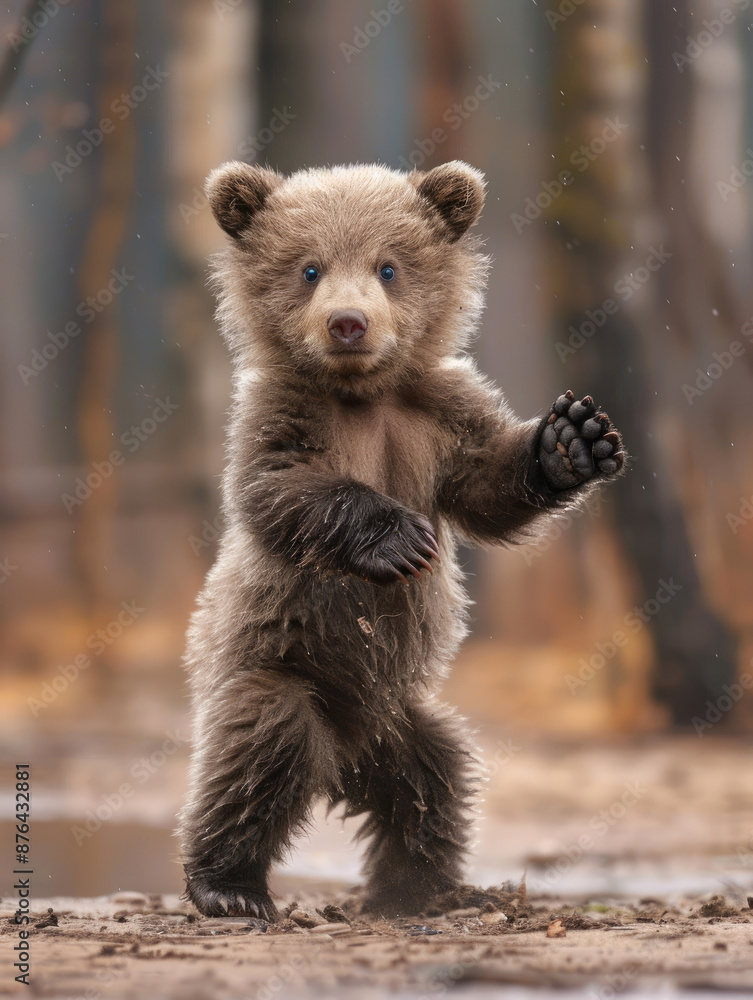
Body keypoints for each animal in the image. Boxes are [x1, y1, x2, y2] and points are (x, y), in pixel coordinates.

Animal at [177, 159, 625, 920]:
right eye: (309, 268)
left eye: (388, 266)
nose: (347, 322)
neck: (363, 395)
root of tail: (343, 762)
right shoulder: (282, 414)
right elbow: (279, 488)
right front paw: (399, 539)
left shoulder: (438, 416)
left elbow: (487, 487)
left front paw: (572, 440)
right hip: (276, 665)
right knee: (262, 745)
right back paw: (229, 887)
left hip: (399, 720)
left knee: (434, 778)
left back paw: (420, 886)